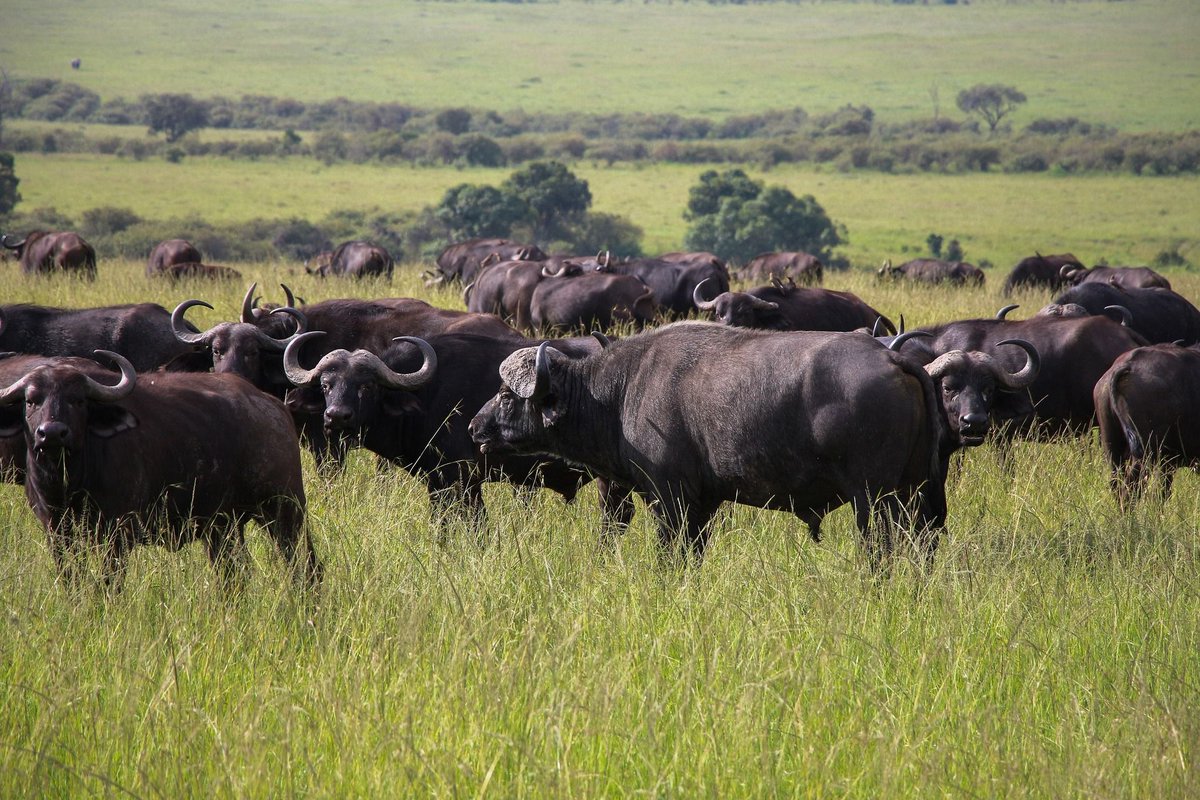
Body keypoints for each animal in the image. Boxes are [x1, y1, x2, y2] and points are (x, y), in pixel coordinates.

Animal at [0, 351, 321, 588]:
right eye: (31, 401)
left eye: (78, 400)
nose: (52, 433)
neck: (68, 483)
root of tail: (274, 407)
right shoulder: (57, 533)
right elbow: (71, 579)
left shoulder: (118, 532)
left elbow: (109, 583)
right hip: (223, 527)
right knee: (233, 573)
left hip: (285, 510)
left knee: (305, 566)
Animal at [470, 323, 947, 566]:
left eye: (508, 394)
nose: (475, 427)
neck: (621, 390)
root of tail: (893, 358)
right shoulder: (704, 504)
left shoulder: (671, 500)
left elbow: (669, 557)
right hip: (919, 496)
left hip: (874, 500)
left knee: (880, 551)